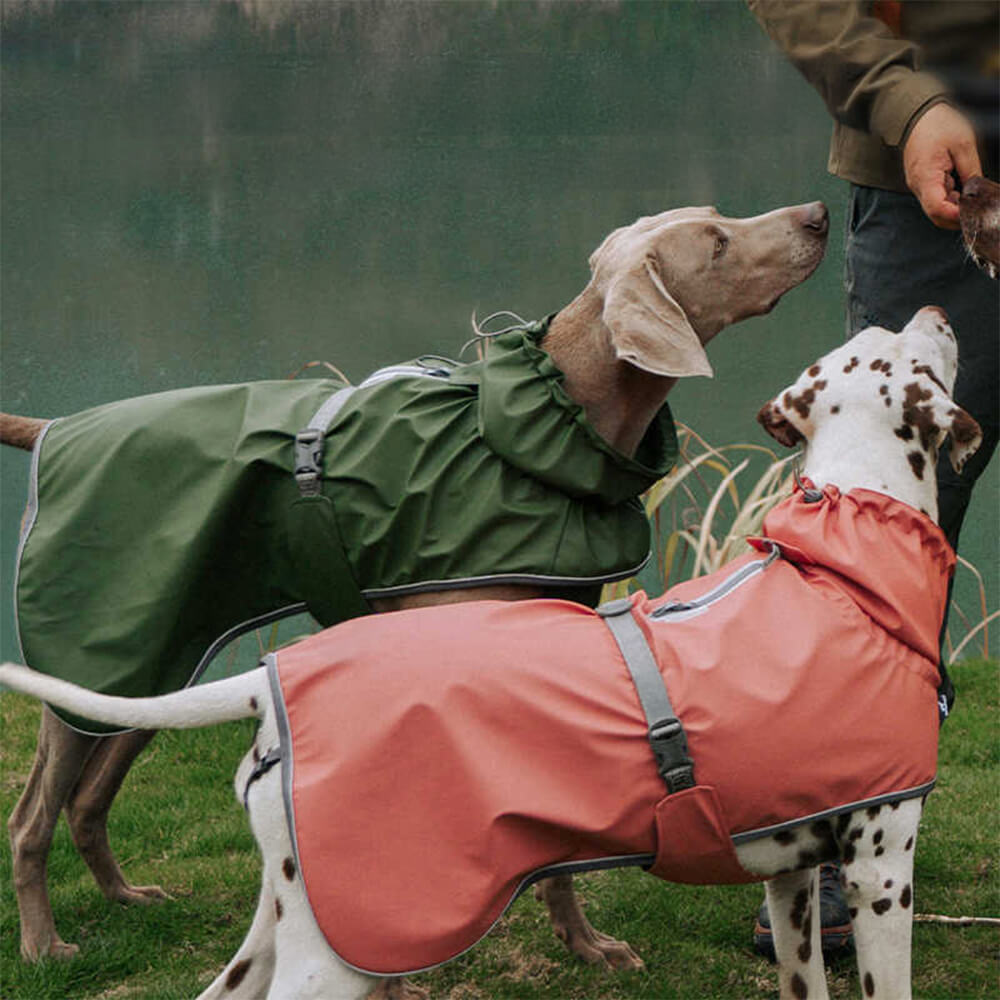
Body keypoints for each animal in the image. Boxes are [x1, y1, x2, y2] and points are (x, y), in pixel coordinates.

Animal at [0, 306, 980, 1000]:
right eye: (905, 342)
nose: (941, 302)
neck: (845, 560)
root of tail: (276, 681)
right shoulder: (881, 868)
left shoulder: (794, 879)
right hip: (346, 946)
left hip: (292, 920)